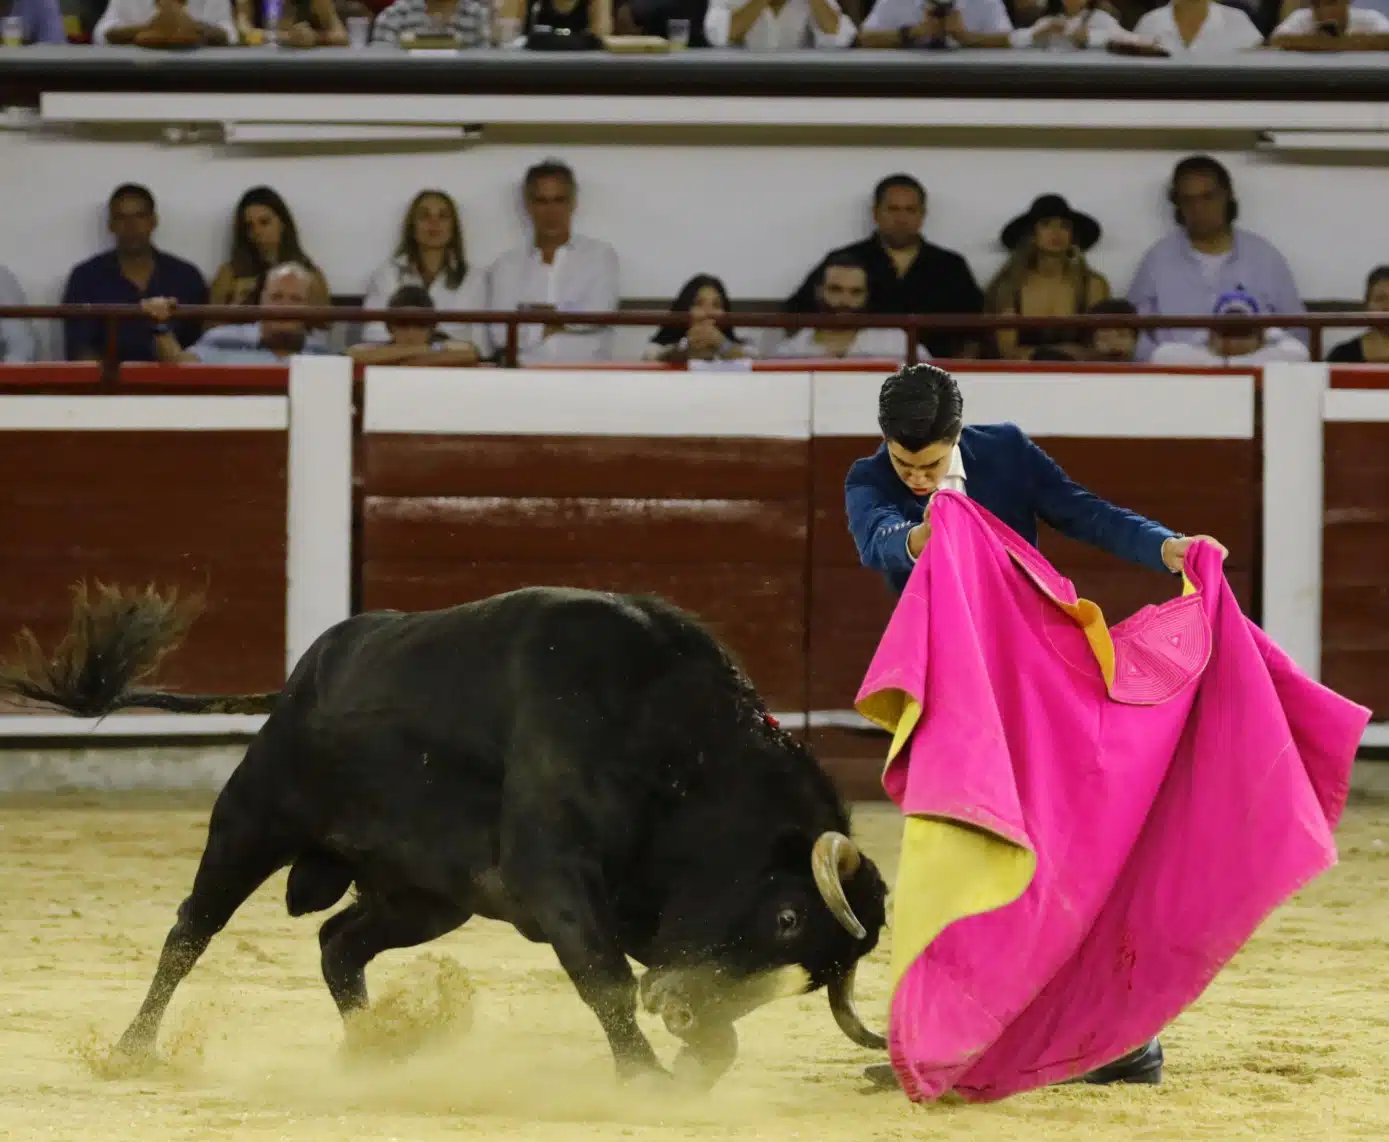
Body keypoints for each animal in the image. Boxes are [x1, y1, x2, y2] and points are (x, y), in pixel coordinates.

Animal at [0, 581, 889, 1089]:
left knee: (338, 942)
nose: (678, 1010)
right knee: (191, 931)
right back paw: (129, 1051)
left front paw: (697, 1059)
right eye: (785, 917)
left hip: (425, 897)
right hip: (252, 823)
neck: (675, 746)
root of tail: (298, 679)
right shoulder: (553, 877)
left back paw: (377, 1049)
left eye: (809, 973)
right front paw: (644, 1075)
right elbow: (602, 977)